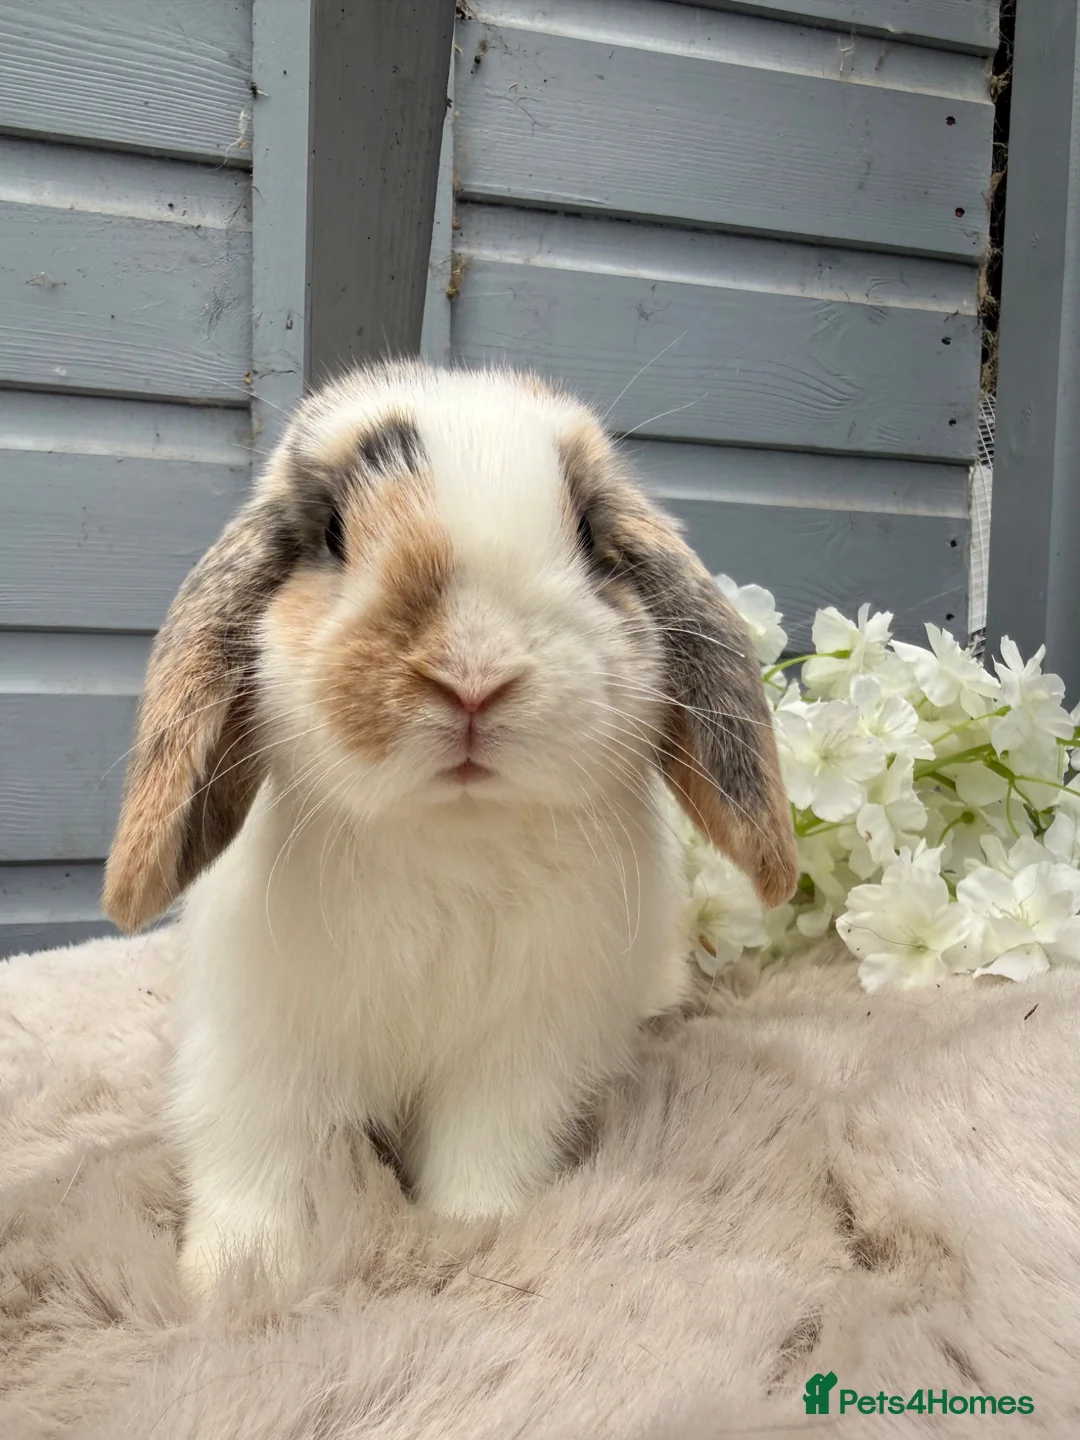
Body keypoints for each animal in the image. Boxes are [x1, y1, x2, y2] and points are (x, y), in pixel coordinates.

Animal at [102, 362, 797, 1298]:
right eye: (332, 532)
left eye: (587, 533)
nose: (475, 675)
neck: (450, 838)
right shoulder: (256, 1049)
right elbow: (256, 1160)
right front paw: (232, 1280)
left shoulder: (517, 1061)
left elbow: (484, 1154)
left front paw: (473, 1232)